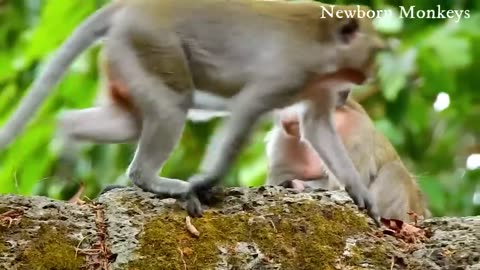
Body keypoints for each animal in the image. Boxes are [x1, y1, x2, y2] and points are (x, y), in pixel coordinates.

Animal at [0, 0, 384, 221]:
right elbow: (246, 110)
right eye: (373, 51)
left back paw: (65, 133)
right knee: (172, 105)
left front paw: (359, 192)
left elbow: (317, 126)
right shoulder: (288, 71)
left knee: (128, 122)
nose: (369, 74)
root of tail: (129, 8)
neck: (325, 49)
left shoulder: (318, 84)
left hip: (124, 53)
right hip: (148, 43)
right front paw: (205, 182)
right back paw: (152, 179)